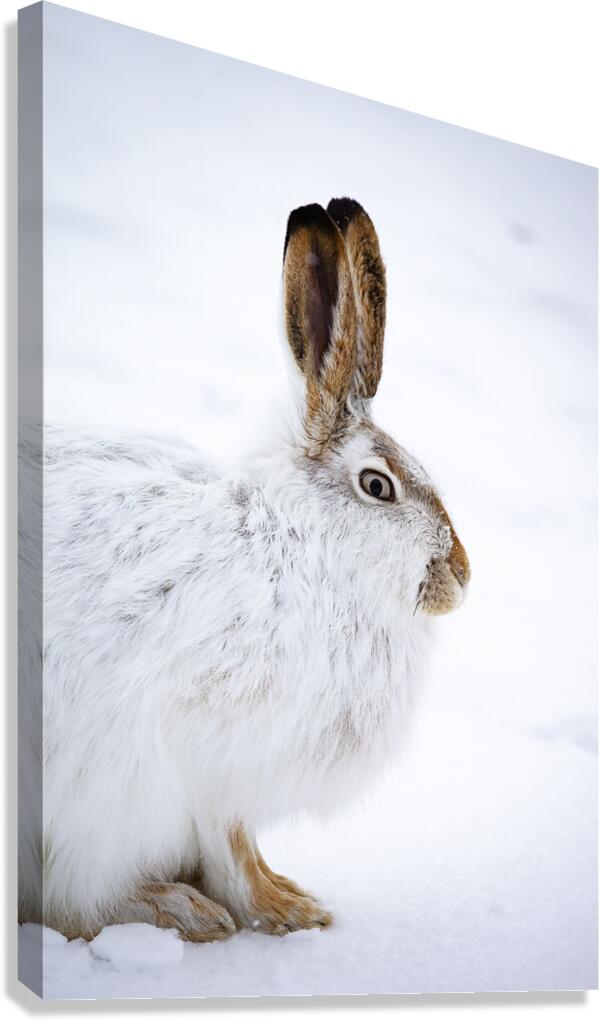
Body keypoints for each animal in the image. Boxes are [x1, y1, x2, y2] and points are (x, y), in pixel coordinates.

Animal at [18, 198, 470, 943]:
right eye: (378, 486)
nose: (460, 577)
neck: (304, 543)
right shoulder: (197, 759)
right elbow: (228, 847)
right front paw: (283, 908)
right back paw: (177, 910)